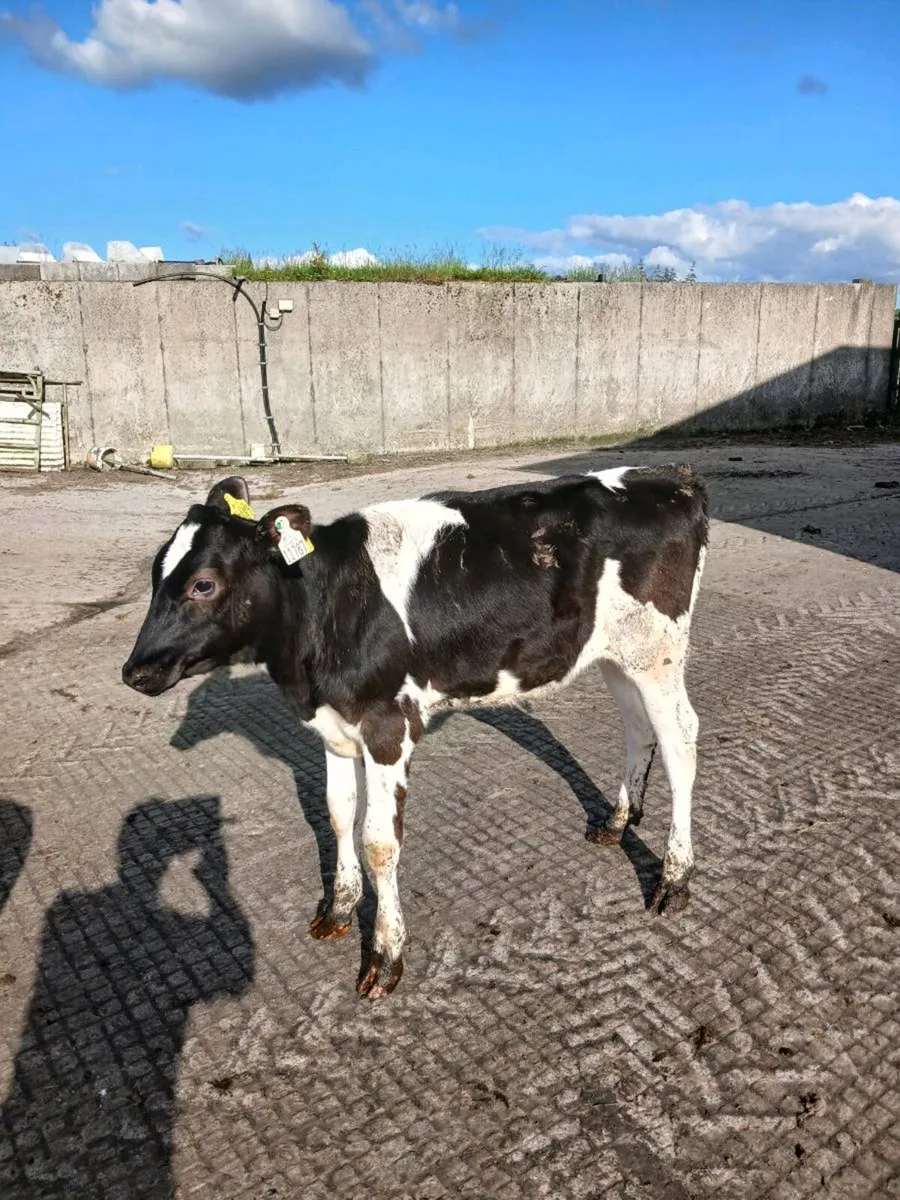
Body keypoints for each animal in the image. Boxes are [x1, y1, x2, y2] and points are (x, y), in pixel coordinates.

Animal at [122, 466, 708, 999]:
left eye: (203, 584)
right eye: (155, 574)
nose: (135, 671)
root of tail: (672, 477)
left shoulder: (388, 726)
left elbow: (379, 842)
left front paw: (385, 956)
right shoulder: (336, 728)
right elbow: (337, 813)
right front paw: (339, 908)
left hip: (659, 652)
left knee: (680, 740)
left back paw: (674, 879)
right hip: (618, 654)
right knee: (638, 727)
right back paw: (616, 822)